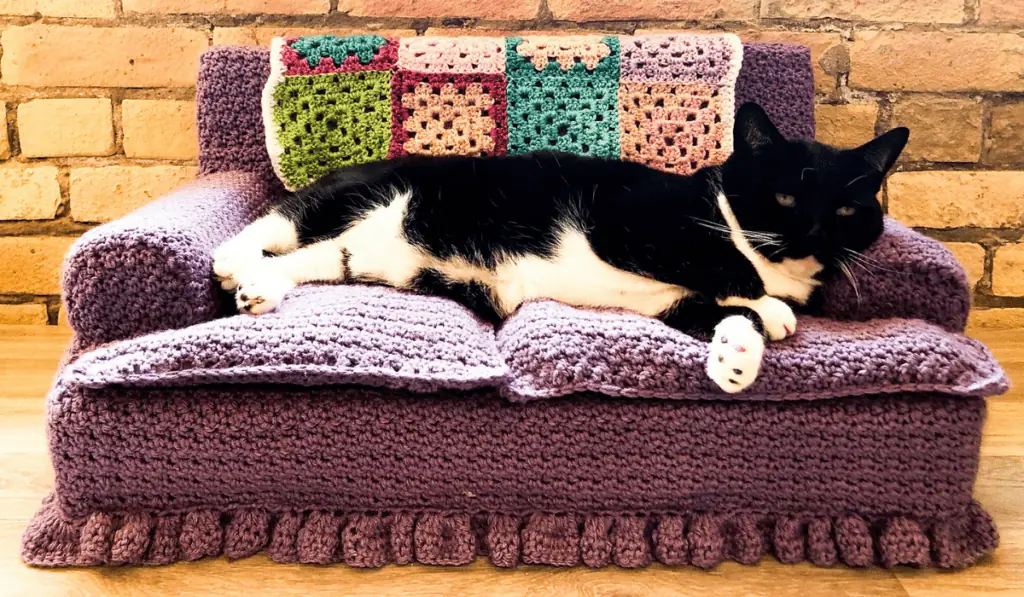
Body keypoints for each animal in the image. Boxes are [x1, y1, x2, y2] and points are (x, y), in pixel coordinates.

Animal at [214, 103, 905, 393]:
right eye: (784, 198)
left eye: (847, 210)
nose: (811, 232)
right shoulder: (629, 221)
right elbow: (723, 262)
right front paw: (772, 310)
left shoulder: (671, 302)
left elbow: (720, 309)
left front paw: (736, 355)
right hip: (366, 194)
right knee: (274, 224)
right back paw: (230, 264)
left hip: (364, 253)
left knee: (306, 261)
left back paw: (259, 288)